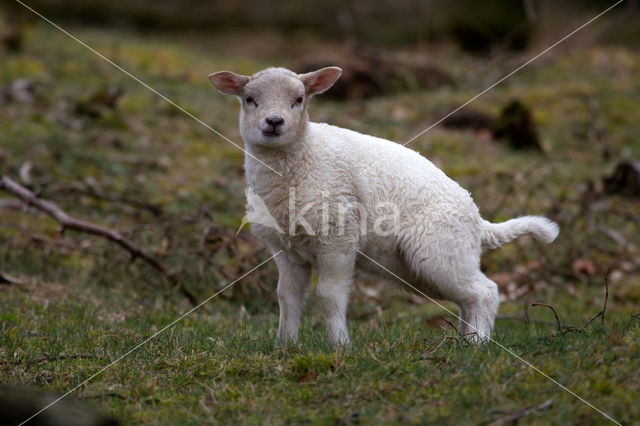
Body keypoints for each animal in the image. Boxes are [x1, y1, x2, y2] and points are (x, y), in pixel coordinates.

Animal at [208, 65, 556, 346]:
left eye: (299, 99)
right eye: (249, 99)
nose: (274, 122)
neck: (300, 158)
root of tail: (479, 221)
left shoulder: (338, 238)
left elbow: (329, 296)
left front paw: (340, 346)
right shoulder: (287, 249)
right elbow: (287, 297)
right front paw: (285, 346)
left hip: (440, 251)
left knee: (485, 292)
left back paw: (477, 344)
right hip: (429, 265)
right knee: (468, 299)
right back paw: (464, 341)